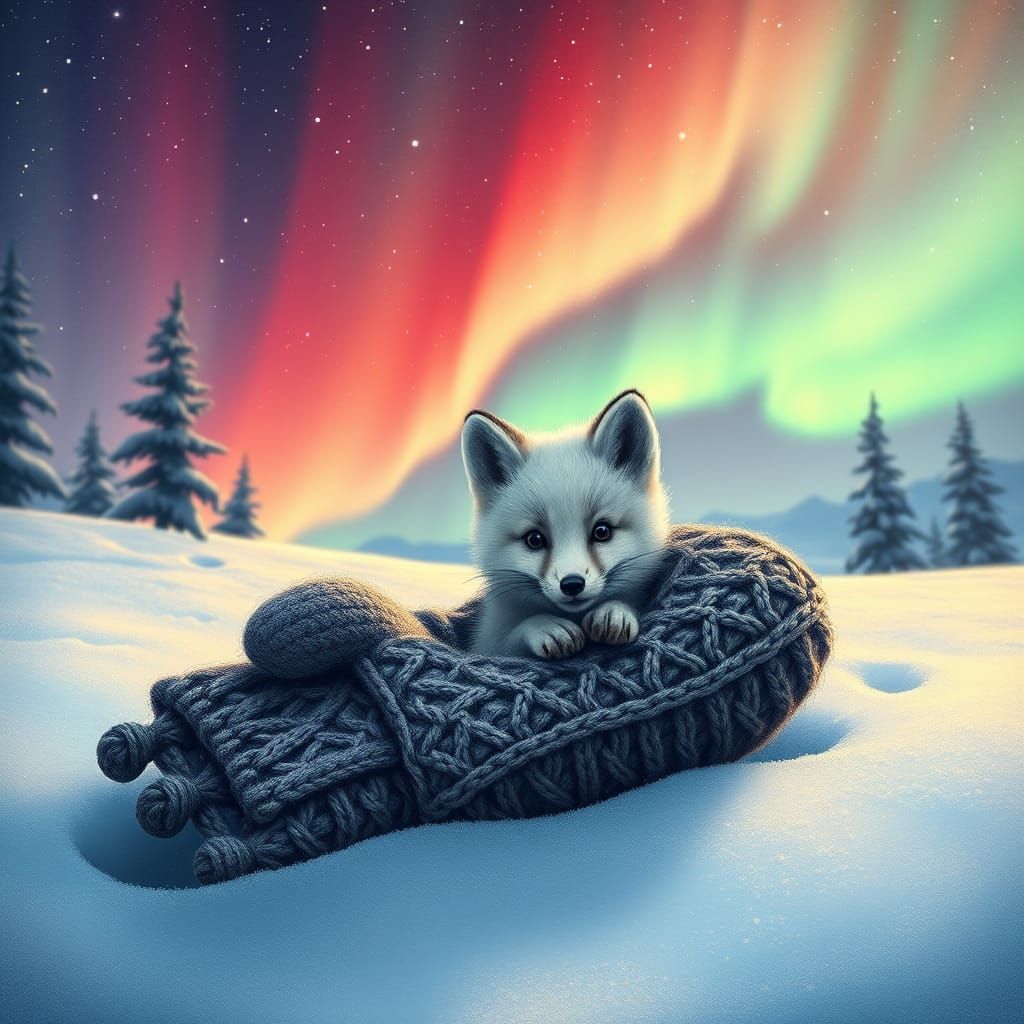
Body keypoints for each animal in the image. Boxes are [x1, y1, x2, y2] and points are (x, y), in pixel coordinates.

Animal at [461, 389, 671, 659]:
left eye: (602, 531)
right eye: (534, 539)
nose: (572, 584)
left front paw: (614, 610)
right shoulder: (488, 647)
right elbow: (518, 635)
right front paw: (544, 626)